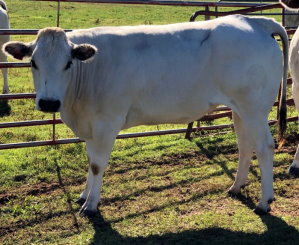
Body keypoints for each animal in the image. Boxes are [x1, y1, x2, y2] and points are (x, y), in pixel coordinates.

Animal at [1, 13, 288, 216]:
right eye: (33, 62)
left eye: (68, 63)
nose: (49, 102)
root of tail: (253, 21)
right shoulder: (91, 126)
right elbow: (90, 161)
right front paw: (84, 195)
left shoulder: (107, 122)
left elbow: (97, 164)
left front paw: (91, 205)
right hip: (240, 109)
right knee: (245, 145)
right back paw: (236, 186)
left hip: (254, 107)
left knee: (265, 147)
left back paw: (264, 201)